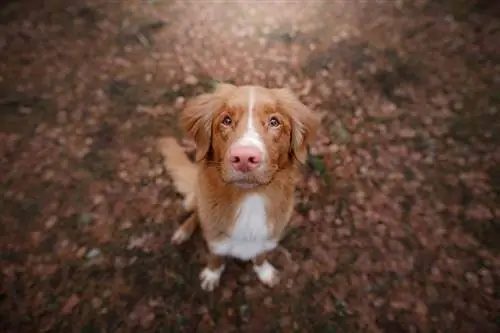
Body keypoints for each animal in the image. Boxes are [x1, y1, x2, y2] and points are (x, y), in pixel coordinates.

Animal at [157, 83, 320, 290]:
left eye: (274, 122)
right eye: (226, 120)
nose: (244, 157)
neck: (250, 198)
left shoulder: (268, 238)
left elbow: (260, 255)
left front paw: (264, 272)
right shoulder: (216, 239)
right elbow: (216, 256)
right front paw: (212, 274)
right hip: (195, 199)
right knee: (195, 214)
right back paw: (182, 232)